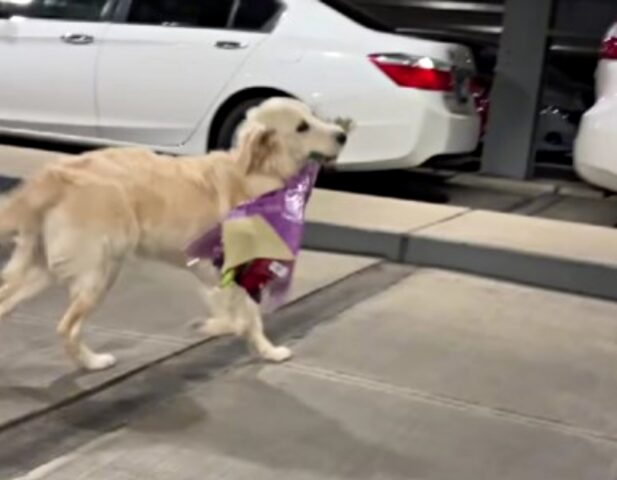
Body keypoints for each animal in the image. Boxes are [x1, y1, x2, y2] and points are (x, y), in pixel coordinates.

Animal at [0, 96, 346, 368]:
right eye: (302, 127)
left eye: (314, 115)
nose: (343, 134)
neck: (259, 174)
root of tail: (53, 175)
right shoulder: (220, 266)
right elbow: (244, 316)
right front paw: (231, 334)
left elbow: (245, 314)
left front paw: (248, 341)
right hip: (98, 272)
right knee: (66, 327)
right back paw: (94, 361)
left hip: (46, 267)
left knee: (7, 302)